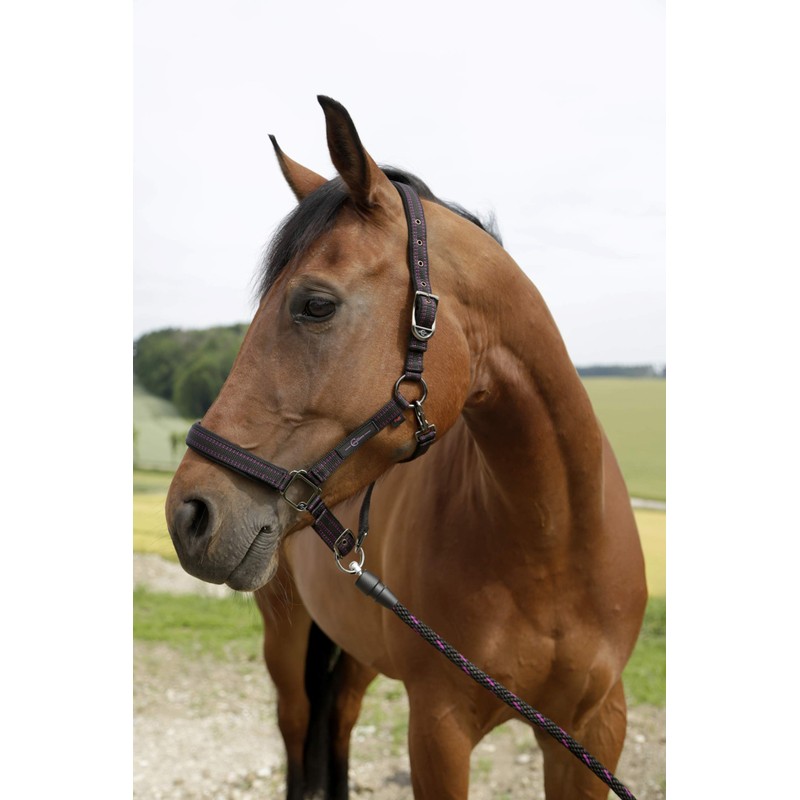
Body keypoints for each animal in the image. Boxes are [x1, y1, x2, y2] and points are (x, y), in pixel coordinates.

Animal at [165, 95, 647, 799]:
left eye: (315, 305)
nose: (188, 514)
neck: (552, 544)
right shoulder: (439, 728)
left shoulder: (594, 731)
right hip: (286, 638)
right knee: (298, 726)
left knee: (339, 717)